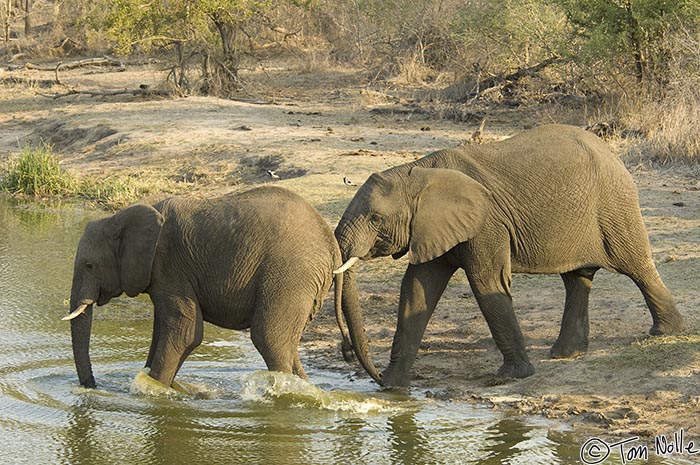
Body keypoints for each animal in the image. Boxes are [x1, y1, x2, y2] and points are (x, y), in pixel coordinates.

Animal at [66, 185, 350, 388]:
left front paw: (154, 390)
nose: (92, 385)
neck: (119, 216)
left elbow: (185, 332)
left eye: (89, 265)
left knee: (269, 339)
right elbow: (163, 332)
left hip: (290, 275)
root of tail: (332, 246)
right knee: (287, 346)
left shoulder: (169, 264)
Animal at [334, 123, 684, 388]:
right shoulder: (431, 227)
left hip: (614, 204)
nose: (348, 353)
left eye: (375, 219)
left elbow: (487, 284)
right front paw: (394, 387)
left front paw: (513, 376)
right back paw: (566, 353)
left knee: (636, 265)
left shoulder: (486, 223)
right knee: (576, 279)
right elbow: (417, 290)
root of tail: (612, 154)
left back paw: (666, 332)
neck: (415, 173)